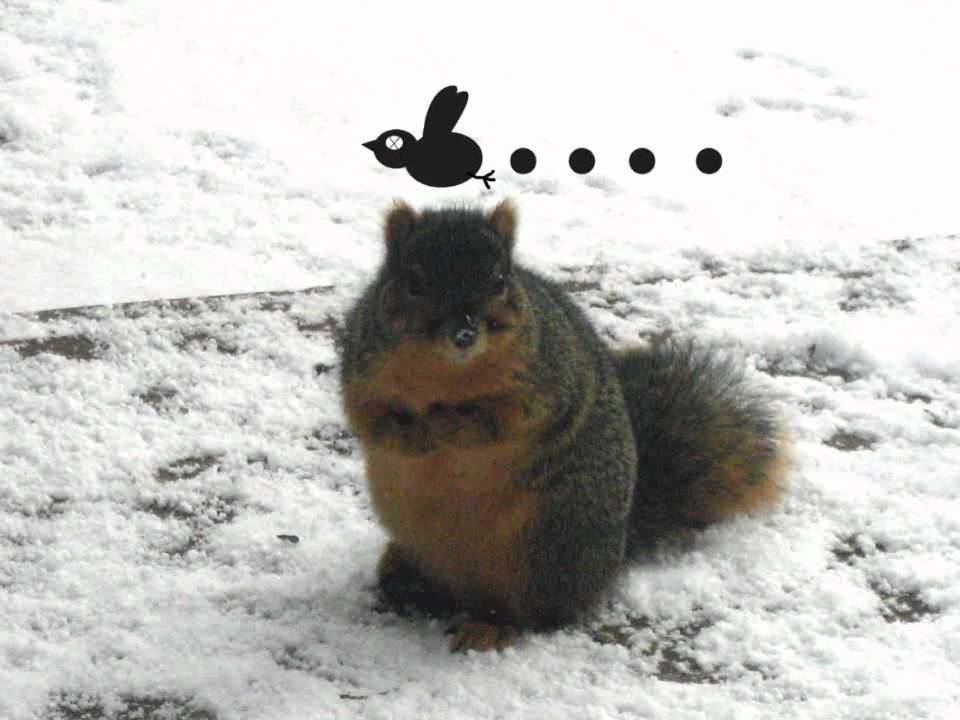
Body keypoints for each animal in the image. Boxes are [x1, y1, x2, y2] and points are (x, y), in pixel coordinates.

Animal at [339, 199, 789, 652]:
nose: (464, 333)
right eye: (413, 283)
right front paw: (411, 435)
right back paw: (402, 573)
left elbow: (506, 420)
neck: (446, 373)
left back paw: (490, 625)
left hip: (544, 547)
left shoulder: (549, 377)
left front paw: (451, 425)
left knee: (536, 612)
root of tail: (614, 553)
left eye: (500, 281)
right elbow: (367, 418)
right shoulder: (362, 370)